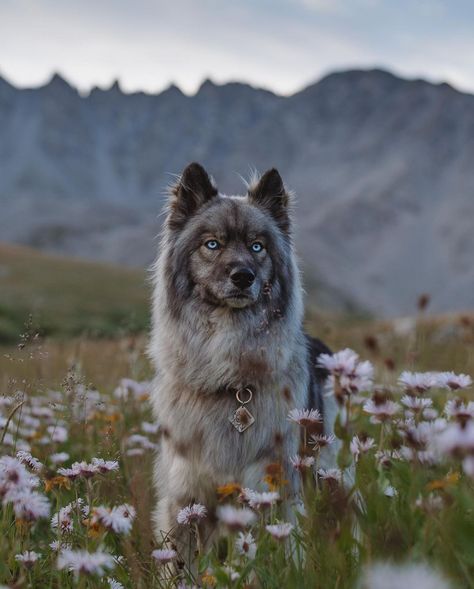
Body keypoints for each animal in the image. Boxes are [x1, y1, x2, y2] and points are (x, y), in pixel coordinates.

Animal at [148, 163, 336, 552]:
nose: (243, 276)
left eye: (257, 246)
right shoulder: (185, 500)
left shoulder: (269, 489)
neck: (230, 378)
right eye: (212, 244)